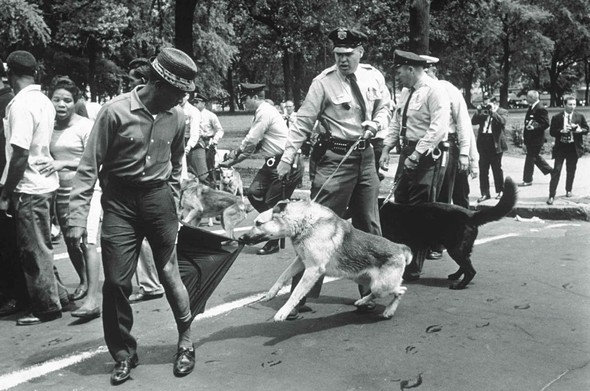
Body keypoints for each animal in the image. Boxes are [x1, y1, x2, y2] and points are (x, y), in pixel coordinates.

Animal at [239, 202, 412, 322]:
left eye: (258, 223)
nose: (241, 238)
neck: (304, 223)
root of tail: (400, 247)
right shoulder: (301, 261)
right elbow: (283, 276)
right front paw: (271, 293)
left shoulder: (313, 269)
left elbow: (295, 293)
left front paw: (283, 312)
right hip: (365, 280)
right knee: (376, 293)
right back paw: (363, 301)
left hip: (381, 285)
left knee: (401, 290)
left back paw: (389, 310)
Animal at [382, 176, 516, 290]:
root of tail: (471, 214)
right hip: (461, 248)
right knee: (465, 266)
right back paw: (455, 276)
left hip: (455, 249)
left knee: (471, 270)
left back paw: (459, 285)